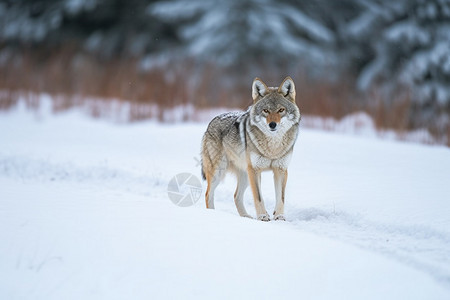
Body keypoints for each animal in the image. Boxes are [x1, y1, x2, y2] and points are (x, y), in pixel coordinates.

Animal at [201, 75, 300, 220]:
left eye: (281, 110)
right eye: (266, 110)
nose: (272, 125)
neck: (272, 147)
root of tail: (211, 122)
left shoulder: (281, 169)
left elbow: (281, 198)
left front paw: (279, 217)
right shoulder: (255, 170)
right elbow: (258, 197)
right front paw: (263, 216)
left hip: (245, 175)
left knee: (236, 196)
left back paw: (246, 217)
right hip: (219, 172)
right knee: (208, 194)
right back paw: (213, 214)